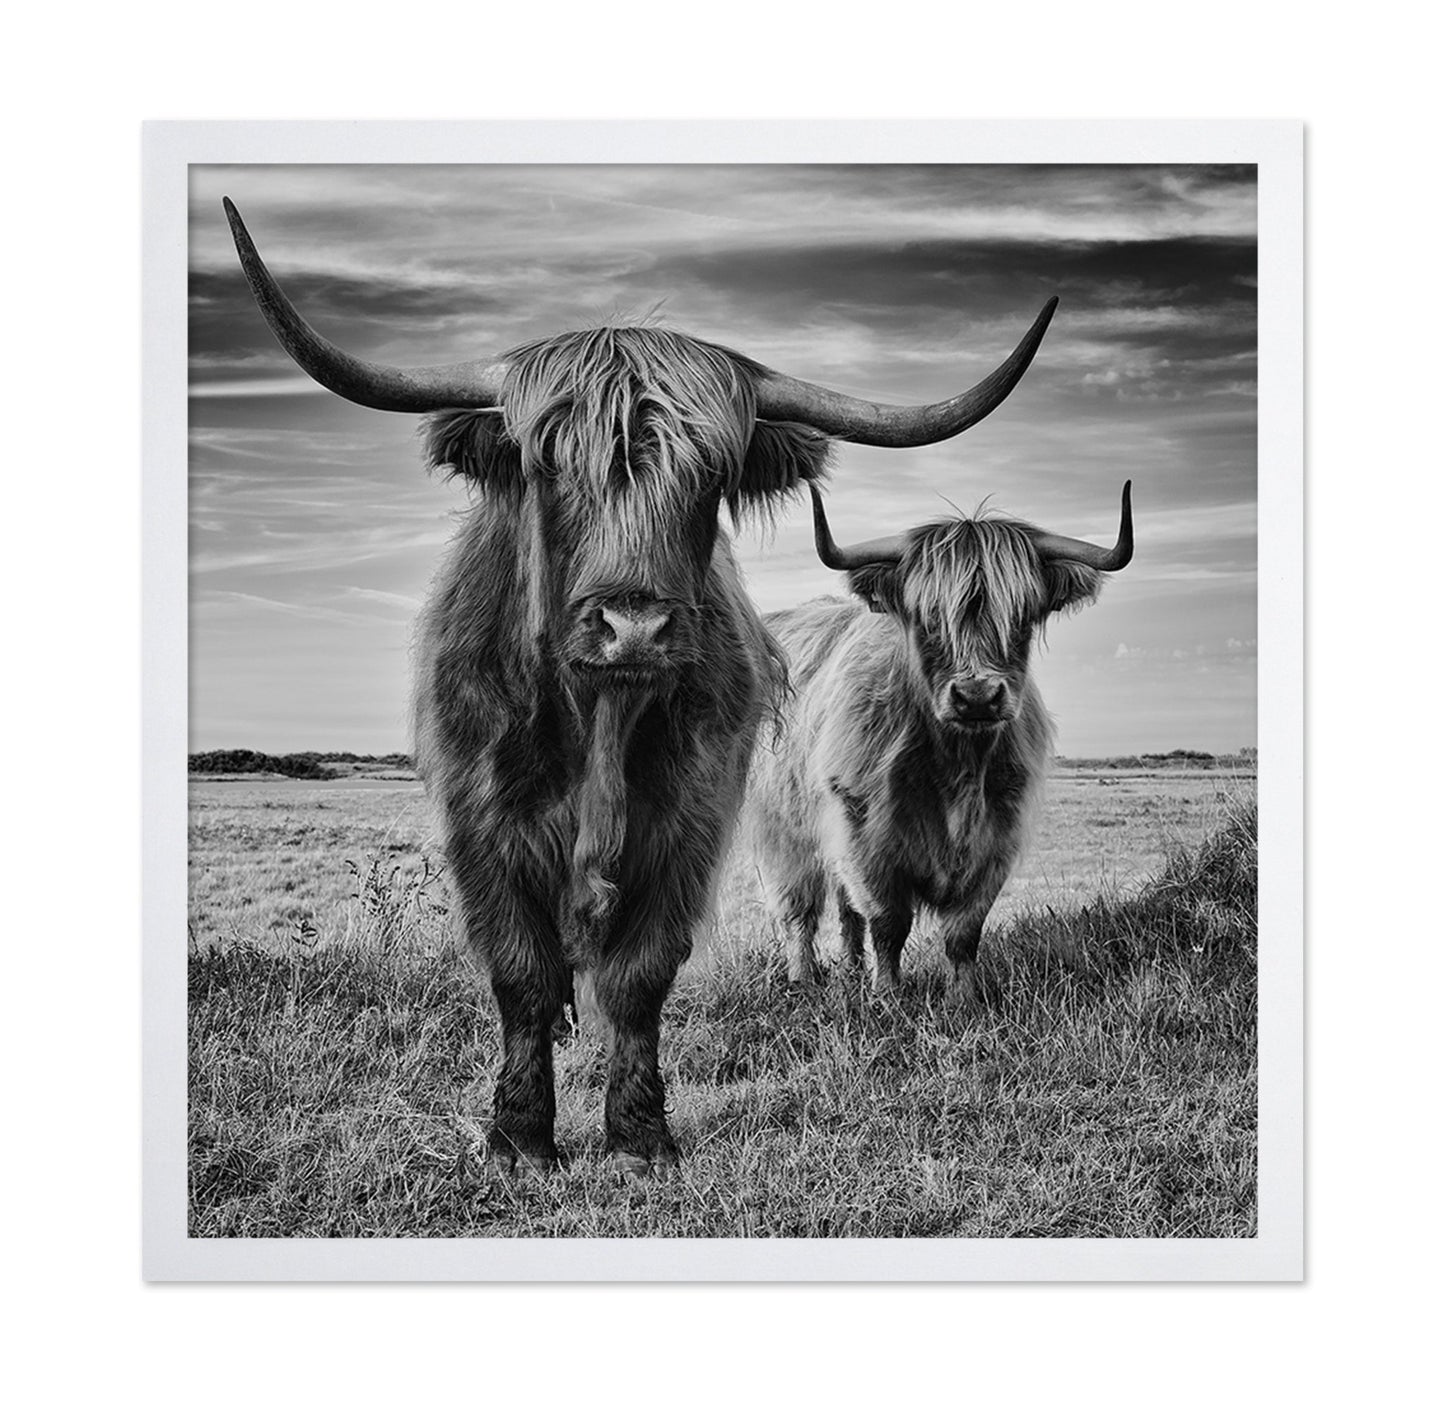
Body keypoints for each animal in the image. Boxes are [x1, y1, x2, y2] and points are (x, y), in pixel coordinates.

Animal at [222, 197, 1060, 1173]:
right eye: (549, 465)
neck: (599, 722)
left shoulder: (690, 821)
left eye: (710, 475)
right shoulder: (480, 823)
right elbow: (522, 973)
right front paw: (519, 1138)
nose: (633, 626)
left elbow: (640, 974)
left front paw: (638, 1134)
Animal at [748, 482, 1133, 1008]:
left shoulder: (997, 838)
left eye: (1022, 617)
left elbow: (963, 931)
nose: (977, 697)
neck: (957, 766)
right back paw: (804, 978)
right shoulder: (864, 835)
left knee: (846, 912)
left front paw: (963, 999)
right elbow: (888, 922)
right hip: (783, 829)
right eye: (928, 619)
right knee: (799, 909)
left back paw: (851, 970)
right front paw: (888, 996)